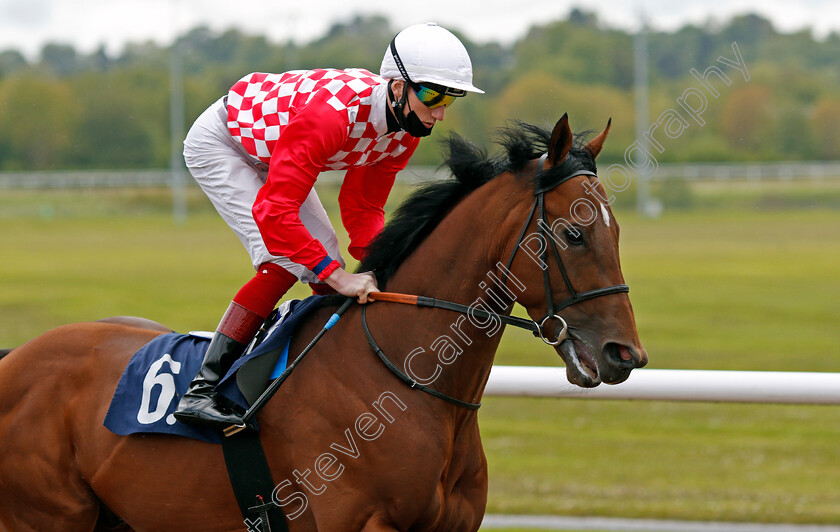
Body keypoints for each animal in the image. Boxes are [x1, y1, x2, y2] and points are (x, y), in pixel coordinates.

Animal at [0, 114, 648, 528]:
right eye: (573, 232)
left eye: (616, 229)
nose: (625, 355)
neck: (404, 378)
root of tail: (18, 358)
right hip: (44, 516)